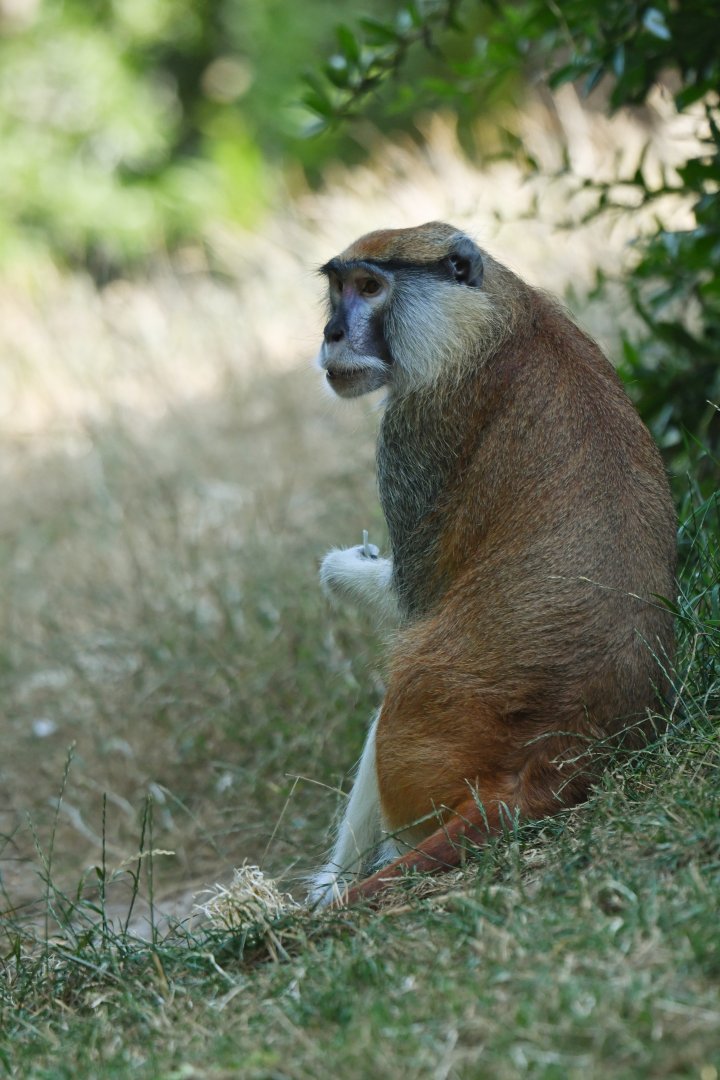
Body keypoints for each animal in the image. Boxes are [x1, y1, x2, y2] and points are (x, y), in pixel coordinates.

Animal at [309, 221, 676, 907]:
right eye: (339, 287)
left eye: (370, 287)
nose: (332, 334)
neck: (490, 319)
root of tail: (555, 755)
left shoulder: (416, 426)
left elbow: (412, 599)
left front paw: (342, 566)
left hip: (424, 765)